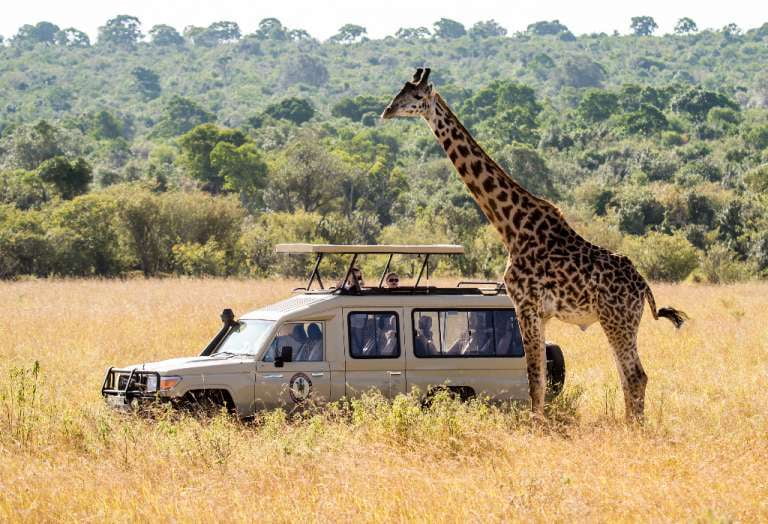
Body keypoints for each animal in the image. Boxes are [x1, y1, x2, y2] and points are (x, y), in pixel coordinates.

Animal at [380, 68, 688, 422]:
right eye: (399, 91)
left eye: (415, 97)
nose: (386, 111)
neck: (511, 226)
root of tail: (644, 288)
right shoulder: (541, 314)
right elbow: (538, 375)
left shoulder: (524, 305)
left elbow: (534, 379)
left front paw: (536, 426)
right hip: (620, 322)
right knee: (629, 376)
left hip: (617, 320)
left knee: (636, 375)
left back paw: (633, 428)